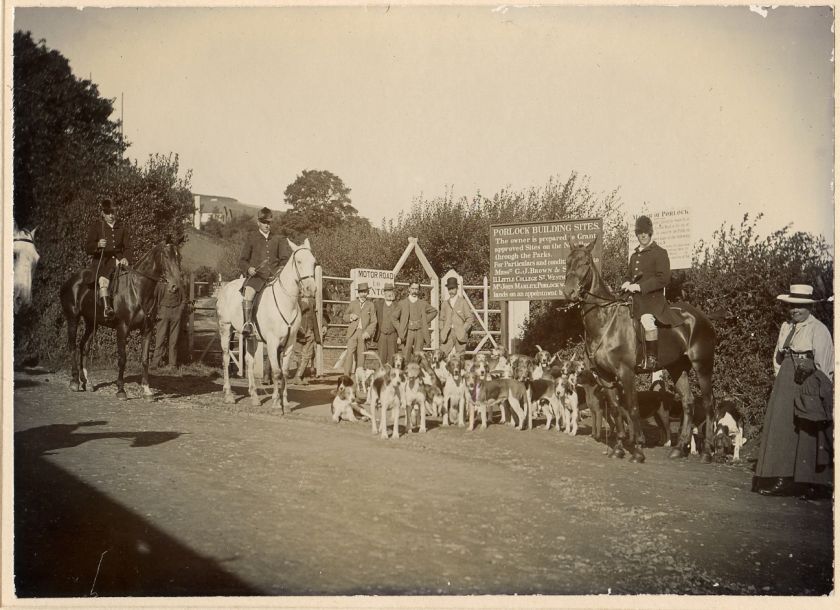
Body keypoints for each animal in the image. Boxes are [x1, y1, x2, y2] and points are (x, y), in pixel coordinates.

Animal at [60, 238, 184, 400]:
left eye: (179, 257)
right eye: (166, 256)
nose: (176, 286)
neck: (138, 289)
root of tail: (70, 281)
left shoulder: (147, 330)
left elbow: (145, 359)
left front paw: (147, 390)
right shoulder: (122, 328)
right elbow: (122, 359)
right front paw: (121, 390)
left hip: (92, 323)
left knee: (84, 347)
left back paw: (87, 382)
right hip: (73, 319)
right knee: (72, 346)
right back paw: (75, 381)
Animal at [218, 235, 316, 410]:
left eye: (314, 262)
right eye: (298, 261)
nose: (311, 289)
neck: (286, 302)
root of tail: (226, 287)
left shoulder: (289, 343)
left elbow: (284, 372)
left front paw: (285, 403)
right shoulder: (272, 342)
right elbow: (276, 372)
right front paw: (277, 403)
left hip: (251, 338)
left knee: (249, 362)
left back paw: (254, 397)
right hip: (226, 329)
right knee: (226, 358)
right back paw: (229, 395)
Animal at [564, 240, 716, 464]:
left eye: (585, 262)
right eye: (567, 261)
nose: (569, 292)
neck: (605, 322)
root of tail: (702, 317)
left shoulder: (626, 373)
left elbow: (632, 408)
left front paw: (638, 449)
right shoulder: (605, 376)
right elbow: (616, 409)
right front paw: (619, 448)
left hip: (703, 366)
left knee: (707, 404)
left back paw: (707, 452)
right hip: (677, 368)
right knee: (688, 403)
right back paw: (679, 448)